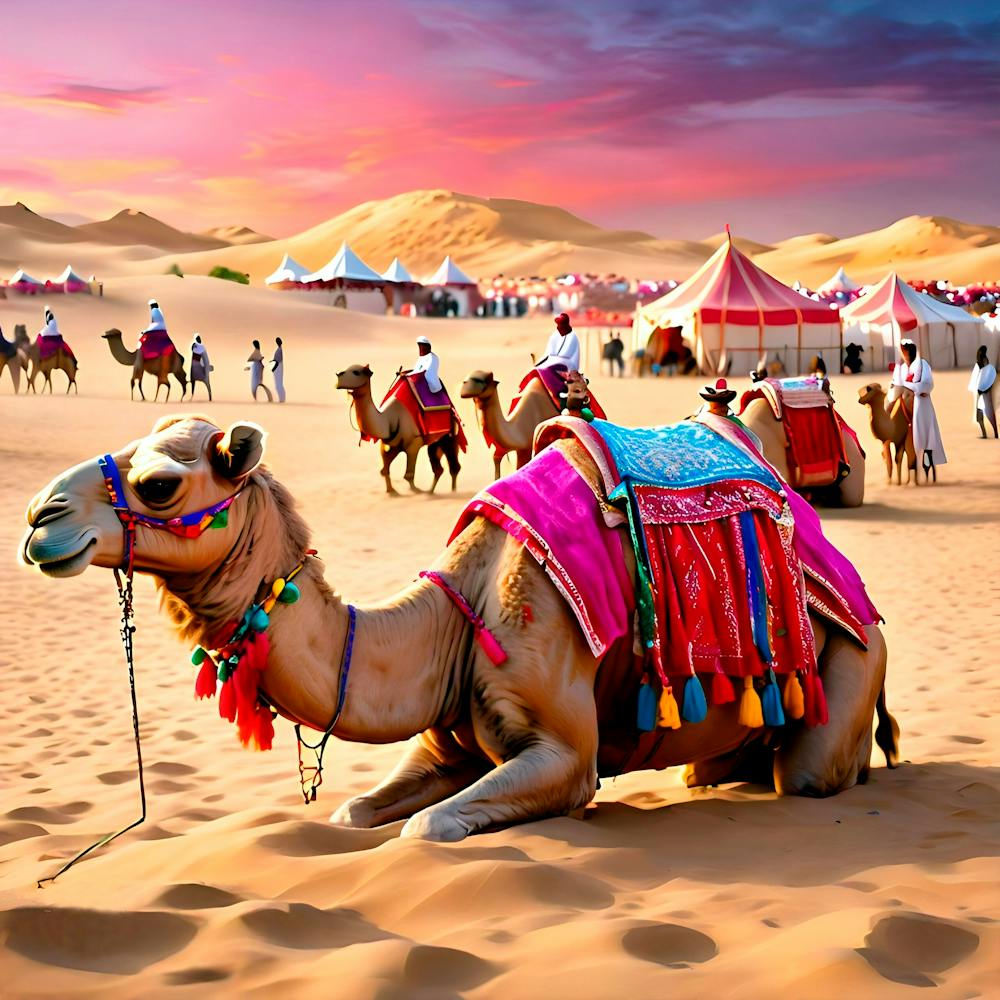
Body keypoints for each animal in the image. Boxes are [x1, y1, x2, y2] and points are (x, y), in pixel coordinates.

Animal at [20, 415, 898, 843]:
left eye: (159, 484)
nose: (38, 518)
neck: (449, 620)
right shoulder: (447, 738)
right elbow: (353, 814)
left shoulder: (563, 750)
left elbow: (429, 826)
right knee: (712, 767)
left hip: (851, 665)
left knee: (813, 774)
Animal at [335, 364, 461, 494]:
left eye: (356, 372)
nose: (339, 374)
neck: (389, 419)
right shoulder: (390, 445)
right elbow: (384, 470)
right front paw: (391, 491)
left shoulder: (414, 443)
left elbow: (408, 475)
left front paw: (416, 491)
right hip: (434, 443)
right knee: (439, 468)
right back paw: (431, 491)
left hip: (448, 436)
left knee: (453, 466)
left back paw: (452, 491)